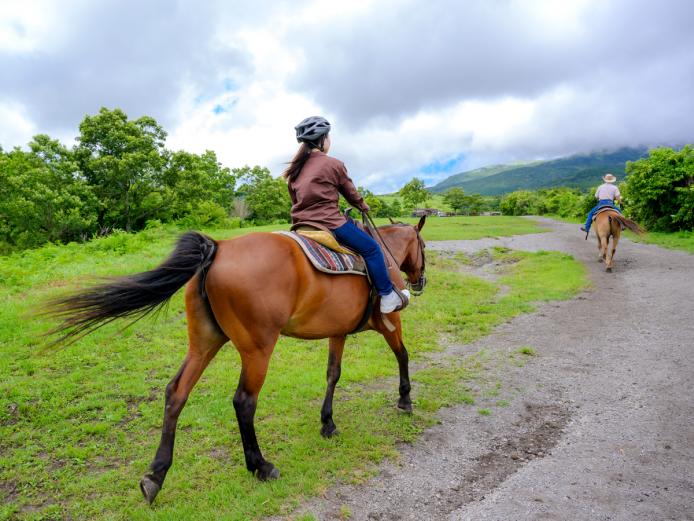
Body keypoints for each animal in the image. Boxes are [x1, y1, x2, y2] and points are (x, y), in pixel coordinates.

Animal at [49, 216, 426, 504]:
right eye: (423, 247)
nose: (420, 281)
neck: (382, 254)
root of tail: (217, 248)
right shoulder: (391, 321)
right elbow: (402, 354)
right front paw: (405, 399)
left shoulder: (338, 331)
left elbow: (333, 373)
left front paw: (328, 423)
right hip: (257, 349)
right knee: (244, 402)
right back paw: (260, 465)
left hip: (204, 343)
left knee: (176, 392)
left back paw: (155, 476)